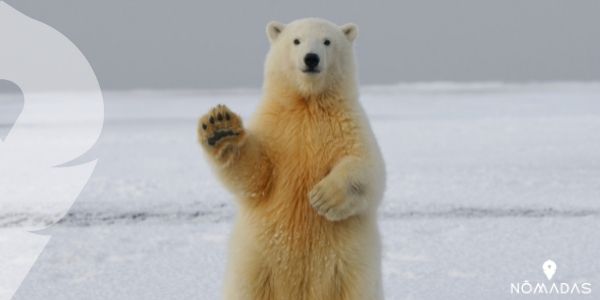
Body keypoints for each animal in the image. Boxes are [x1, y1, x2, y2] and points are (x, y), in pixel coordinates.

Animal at [197, 17, 384, 298]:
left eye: (327, 41)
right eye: (296, 40)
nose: (311, 58)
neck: (307, 104)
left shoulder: (348, 125)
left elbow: (368, 168)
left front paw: (323, 197)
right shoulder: (276, 129)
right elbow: (256, 175)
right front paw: (220, 128)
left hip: (352, 271)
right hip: (255, 265)